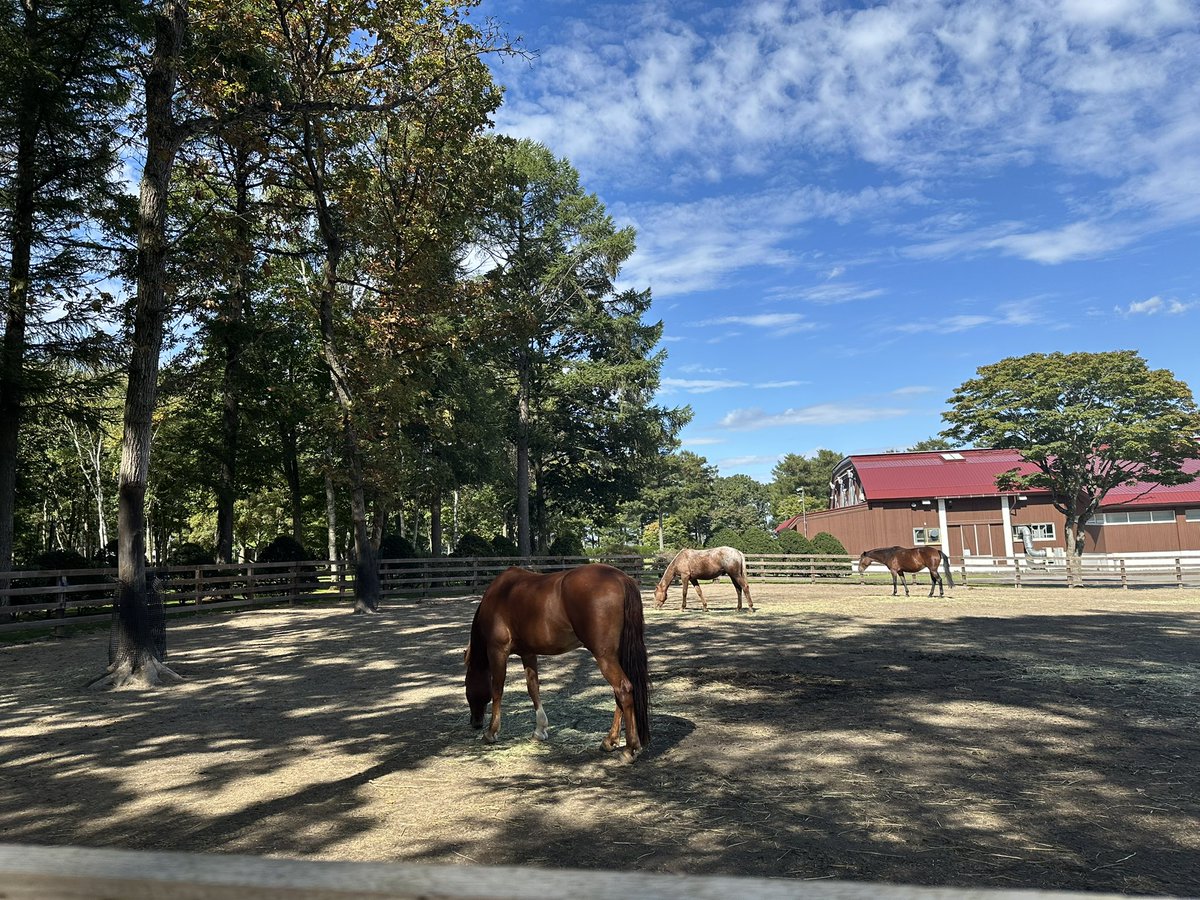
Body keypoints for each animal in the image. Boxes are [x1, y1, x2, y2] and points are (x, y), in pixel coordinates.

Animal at [464, 563, 650, 761]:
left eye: (466, 685)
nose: (475, 722)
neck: (501, 595)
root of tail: (621, 578)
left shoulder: (497, 650)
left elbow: (497, 690)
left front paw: (491, 732)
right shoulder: (528, 653)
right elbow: (533, 688)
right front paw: (539, 730)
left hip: (605, 657)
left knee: (623, 689)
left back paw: (630, 749)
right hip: (617, 655)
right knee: (620, 693)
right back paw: (610, 741)